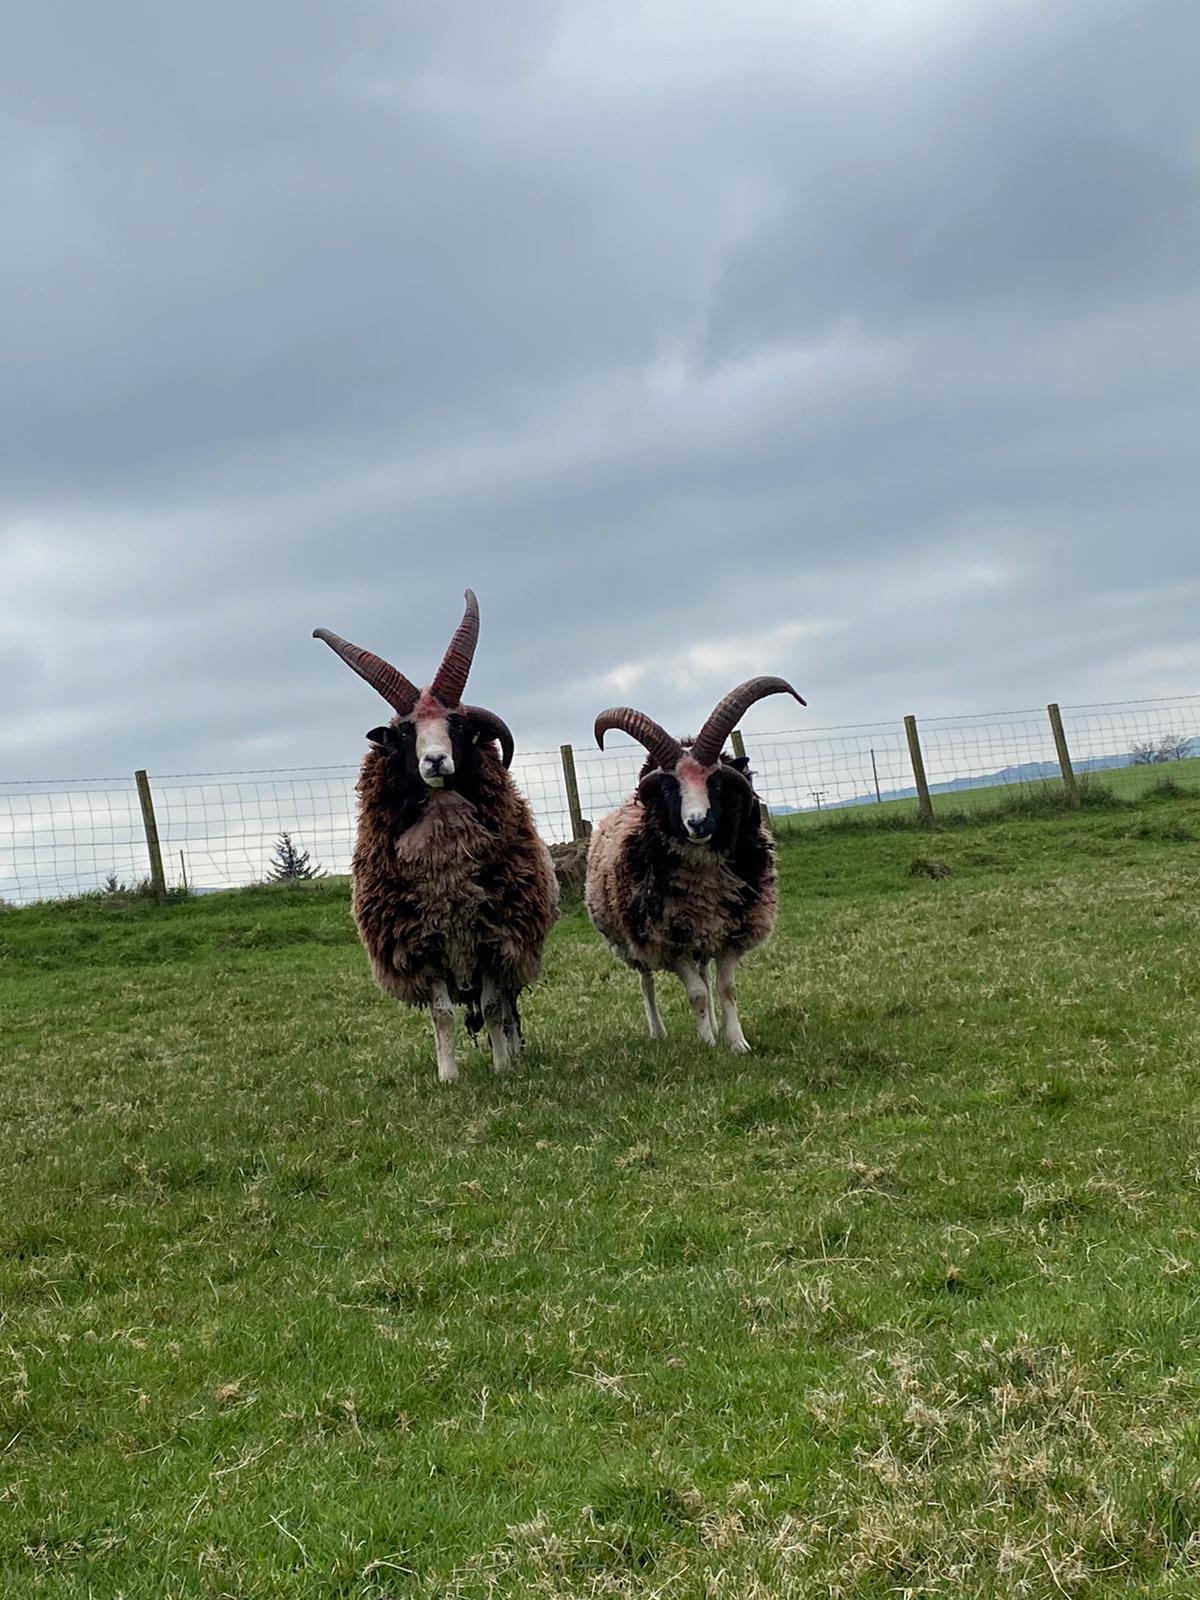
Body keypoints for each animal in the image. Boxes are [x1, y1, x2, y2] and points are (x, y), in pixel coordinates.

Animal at [313, 590, 558, 1082]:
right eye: (407, 731)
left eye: (458, 725)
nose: (435, 762)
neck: (447, 875)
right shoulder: (422, 947)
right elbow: (442, 1015)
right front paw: (448, 1077)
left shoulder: (491, 939)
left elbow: (493, 1006)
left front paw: (502, 1068)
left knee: (506, 1009)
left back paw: (513, 1052)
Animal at [585, 677, 805, 1053]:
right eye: (669, 788)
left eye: (715, 782)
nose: (698, 822)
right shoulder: (668, 940)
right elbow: (698, 994)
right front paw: (708, 1044)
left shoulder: (731, 933)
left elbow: (725, 989)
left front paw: (736, 1043)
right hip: (634, 939)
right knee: (646, 982)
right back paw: (658, 1031)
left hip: (701, 935)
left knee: (703, 973)